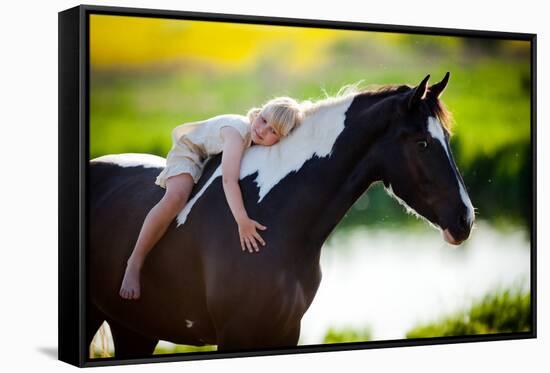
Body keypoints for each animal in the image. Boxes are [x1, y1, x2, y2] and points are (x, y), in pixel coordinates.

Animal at [88, 73, 476, 358]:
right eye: (422, 143)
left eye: (446, 137)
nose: (465, 220)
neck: (276, 219)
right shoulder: (235, 334)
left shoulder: (286, 331)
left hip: (134, 329)